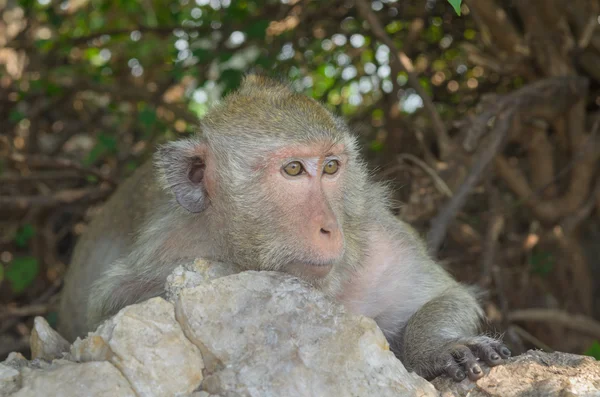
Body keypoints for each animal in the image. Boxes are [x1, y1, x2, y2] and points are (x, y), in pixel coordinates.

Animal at [58, 73, 510, 380]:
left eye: (331, 167)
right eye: (293, 169)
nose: (331, 229)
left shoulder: (379, 239)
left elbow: (448, 296)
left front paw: (438, 347)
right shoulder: (169, 245)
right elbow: (113, 307)